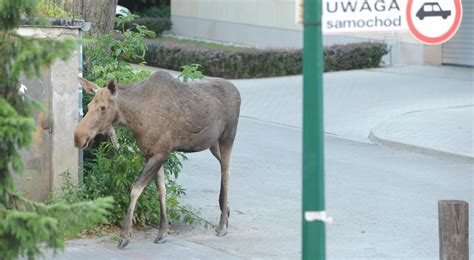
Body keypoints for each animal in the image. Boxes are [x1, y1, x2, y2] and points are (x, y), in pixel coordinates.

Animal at [76, 70, 243, 248]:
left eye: (103, 107)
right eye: (88, 106)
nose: (79, 137)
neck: (134, 120)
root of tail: (237, 91)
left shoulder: (162, 153)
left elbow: (135, 189)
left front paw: (125, 235)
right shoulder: (151, 153)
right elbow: (161, 190)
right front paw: (162, 232)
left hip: (228, 137)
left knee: (226, 172)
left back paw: (222, 225)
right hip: (213, 144)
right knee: (226, 169)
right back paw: (226, 211)